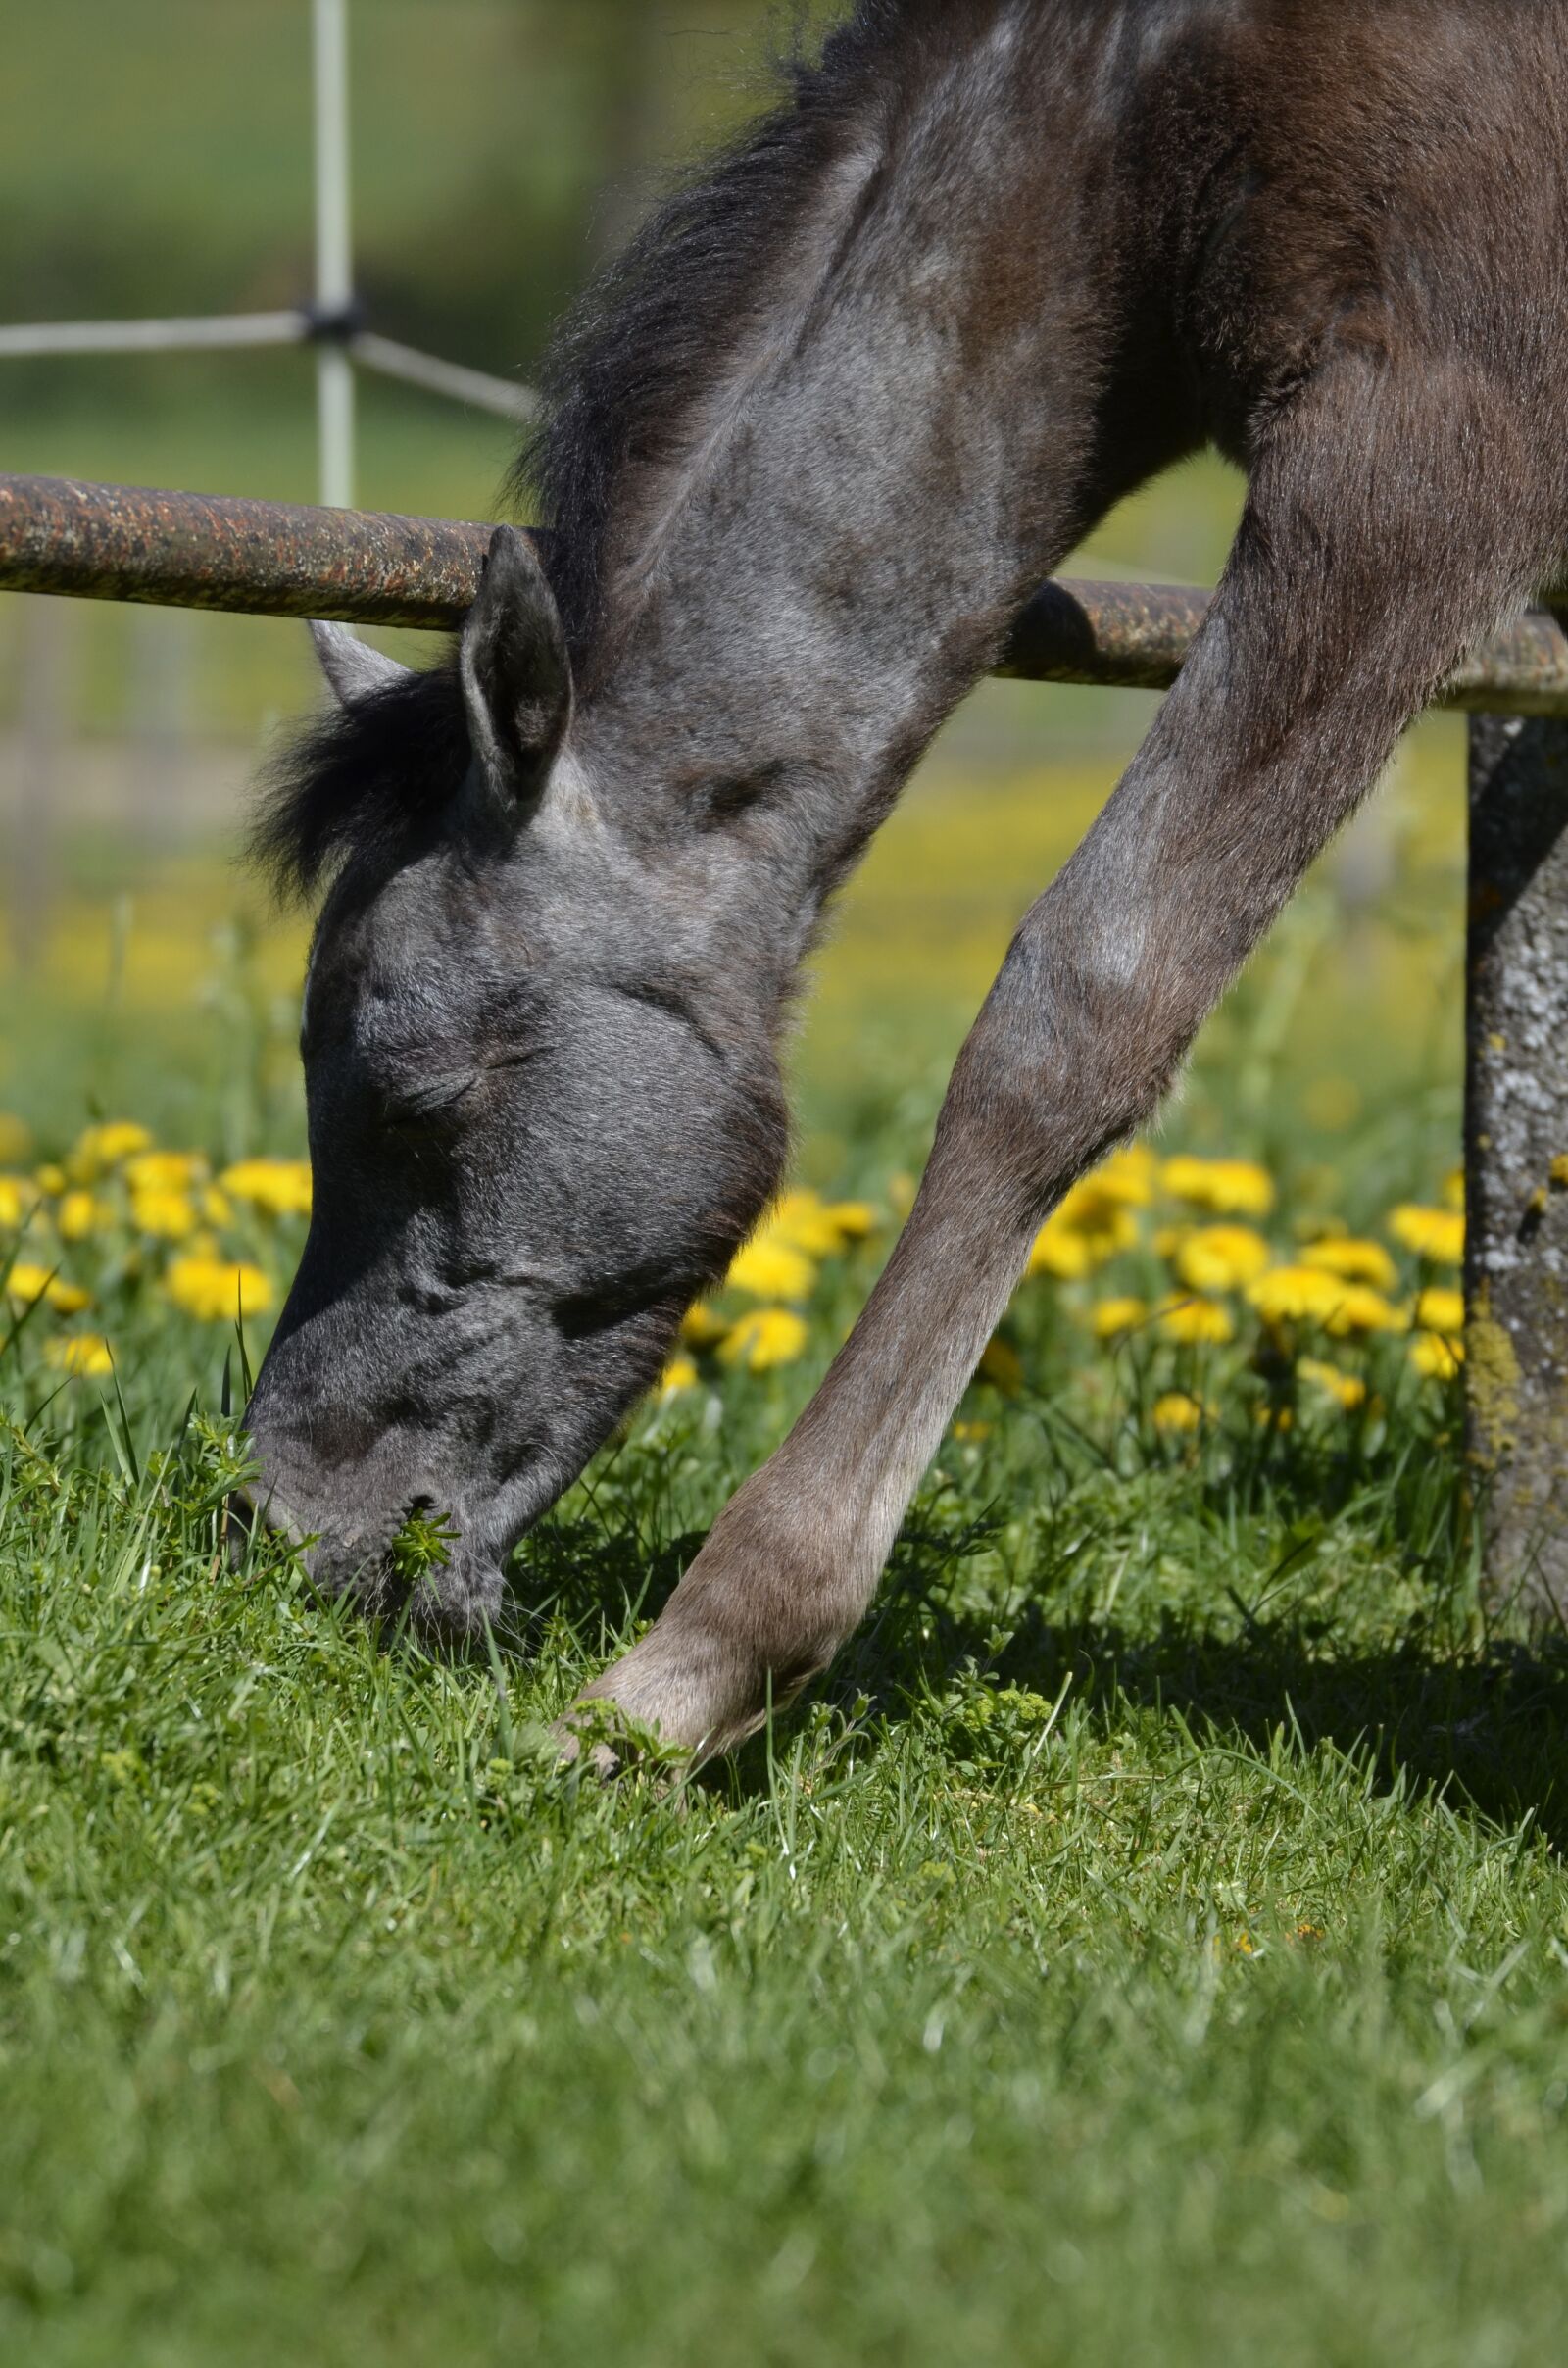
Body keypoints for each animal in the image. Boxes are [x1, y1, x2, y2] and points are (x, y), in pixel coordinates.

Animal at [241, 0, 1568, 1759]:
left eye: (413, 1095)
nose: (273, 1522)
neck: (1151, 99)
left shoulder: (1416, 450)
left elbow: (1077, 1005)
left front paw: (689, 1671)